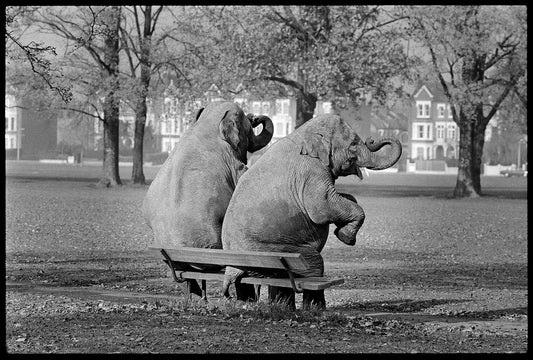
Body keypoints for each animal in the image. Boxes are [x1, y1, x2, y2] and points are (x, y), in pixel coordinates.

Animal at [220, 114, 400, 310]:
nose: (371, 139)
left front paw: (343, 227)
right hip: (274, 251)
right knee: (315, 265)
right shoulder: (311, 171)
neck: (303, 133)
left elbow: (341, 199)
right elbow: (321, 208)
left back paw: (281, 307)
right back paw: (315, 308)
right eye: (353, 143)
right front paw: (346, 237)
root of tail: (233, 267)